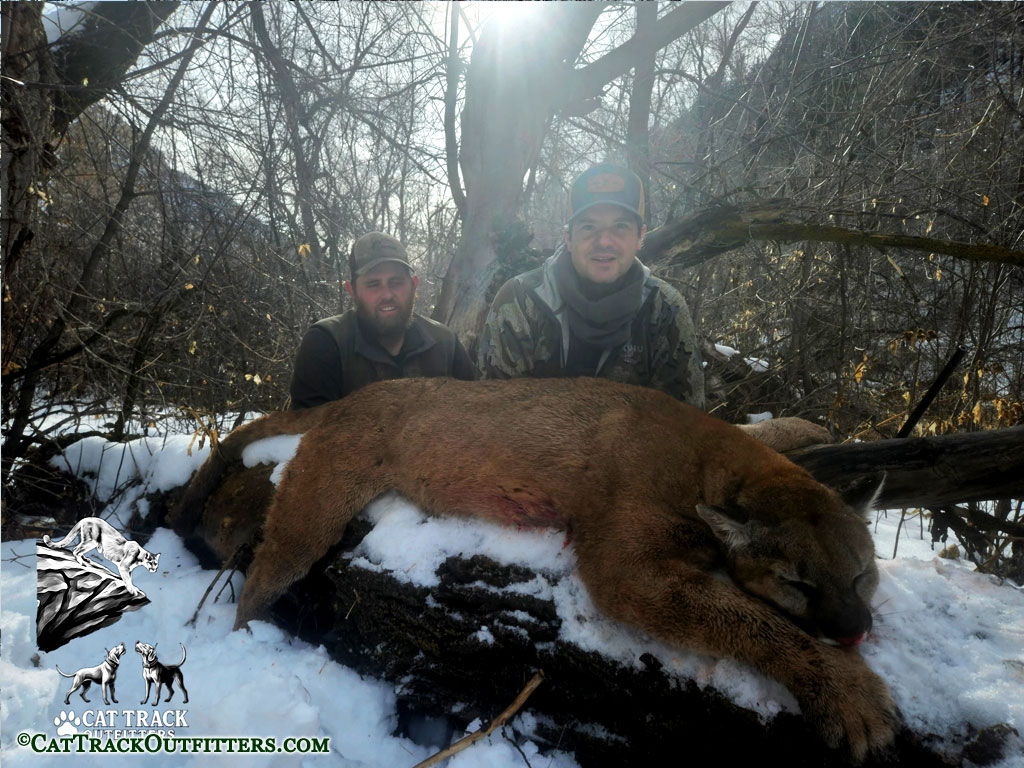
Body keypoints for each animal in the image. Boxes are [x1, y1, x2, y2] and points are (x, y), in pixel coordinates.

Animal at [170, 377, 895, 761]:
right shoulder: (629, 569)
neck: (714, 464)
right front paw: (851, 693)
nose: (855, 627)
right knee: (262, 579)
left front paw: (809, 427)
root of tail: (353, 396)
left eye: (863, 574)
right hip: (317, 503)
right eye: (799, 582)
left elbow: (773, 433)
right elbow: (755, 624)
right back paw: (248, 647)